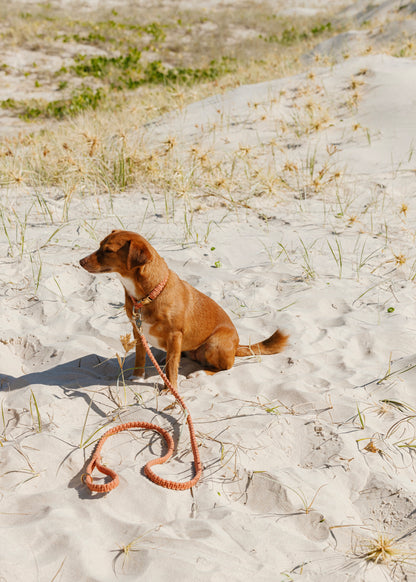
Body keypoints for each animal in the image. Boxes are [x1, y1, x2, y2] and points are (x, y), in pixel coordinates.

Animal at [78, 230, 288, 390]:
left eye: (108, 250)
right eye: (99, 245)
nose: (80, 261)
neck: (147, 295)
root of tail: (237, 346)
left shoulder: (175, 335)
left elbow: (172, 367)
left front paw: (169, 389)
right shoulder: (137, 330)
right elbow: (140, 356)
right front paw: (137, 376)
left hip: (214, 345)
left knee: (225, 367)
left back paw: (200, 373)